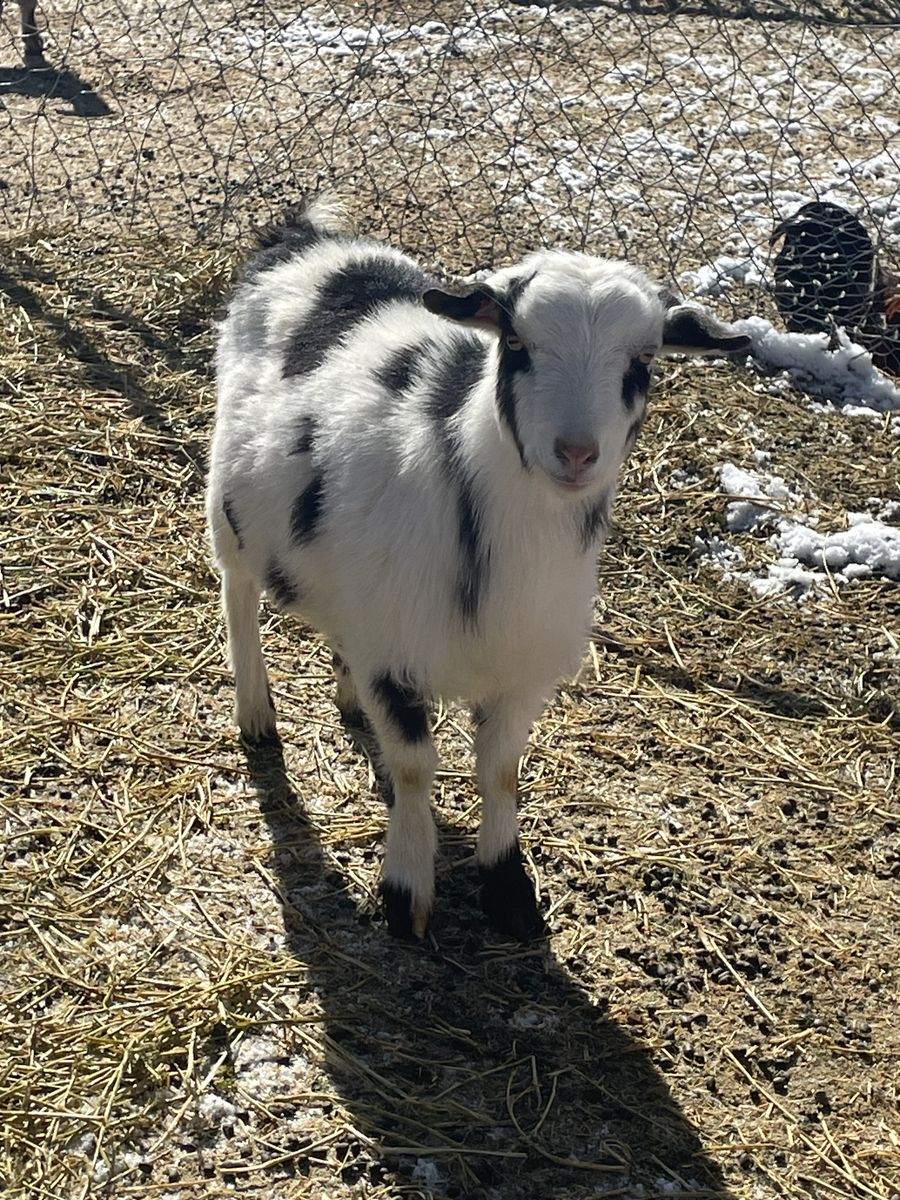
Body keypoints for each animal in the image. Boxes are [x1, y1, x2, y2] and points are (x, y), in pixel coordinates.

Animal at [207, 197, 750, 942]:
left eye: (643, 359)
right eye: (516, 344)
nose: (576, 453)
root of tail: (305, 236)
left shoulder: (520, 665)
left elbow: (500, 772)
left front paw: (508, 887)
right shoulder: (396, 652)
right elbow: (414, 768)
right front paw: (406, 892)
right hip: (228, 503)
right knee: (238, 595)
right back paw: (256, 712)